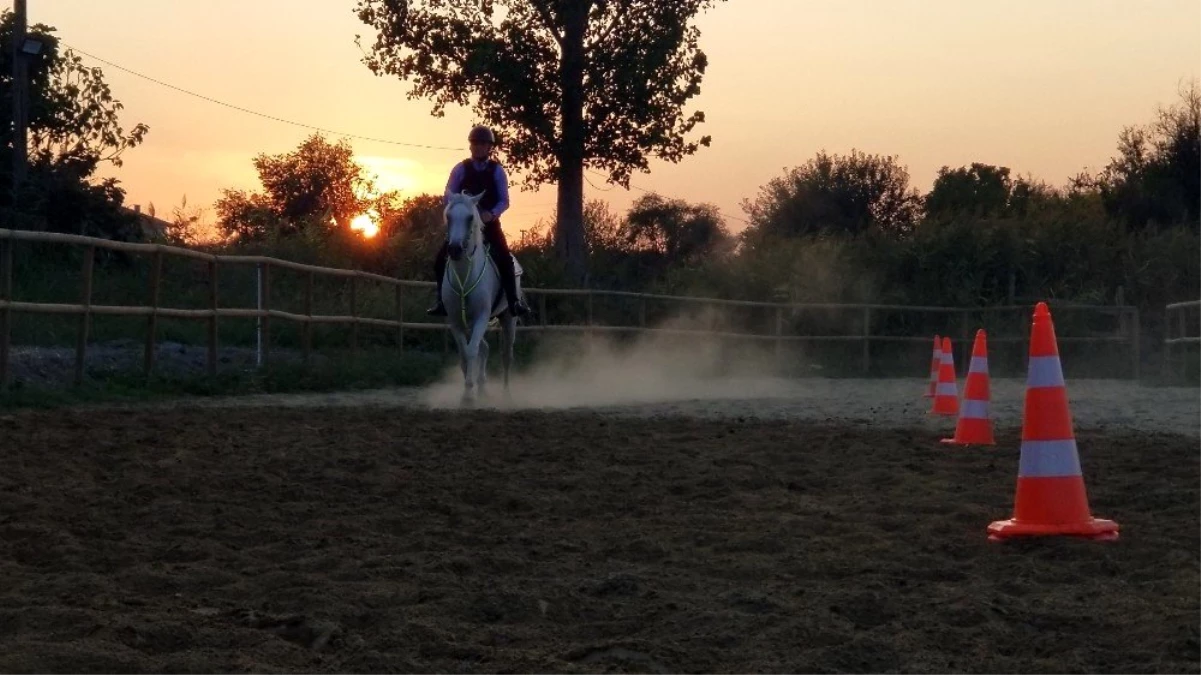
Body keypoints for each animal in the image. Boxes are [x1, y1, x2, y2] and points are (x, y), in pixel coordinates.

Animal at [439, 187, 518, 398]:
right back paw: (482, 386)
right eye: (448, 216)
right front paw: (469, 388)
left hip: (508, 318)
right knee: (485, 348)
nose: (455, 249)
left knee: (506, 354)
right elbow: (464, 353)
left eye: (469, 218)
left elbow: (472, 350)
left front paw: (468, 393)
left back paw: (506, 391)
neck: (465, 276)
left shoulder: (482, 317)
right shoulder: (456, 321)